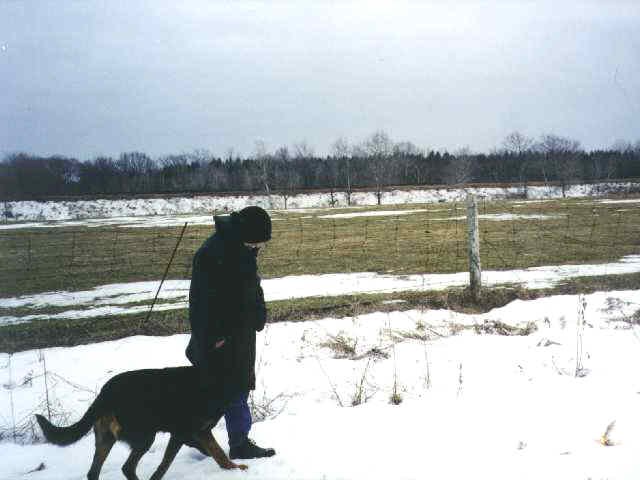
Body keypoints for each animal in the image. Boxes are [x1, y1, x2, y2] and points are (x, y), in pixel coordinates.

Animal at [34, 366, 248, 478]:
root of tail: (105, 394)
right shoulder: (181, 434)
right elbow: (164, 465)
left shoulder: (199, 433)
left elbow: (217, 452)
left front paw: (232, 468)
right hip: (145, 437)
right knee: (127, 467)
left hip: (105, 440)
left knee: (94, 472)